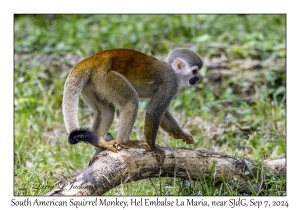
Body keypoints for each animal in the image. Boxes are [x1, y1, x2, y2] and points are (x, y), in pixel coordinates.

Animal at [63, 48, 204, 163]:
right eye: (194, 71)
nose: (198, 78)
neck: (173, 72)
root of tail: (92, 59)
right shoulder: (171, 83)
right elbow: (154, 112)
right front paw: (153, 147)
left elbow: (161, 113)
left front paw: (180, 134)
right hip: (104, 77)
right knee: (131, 100)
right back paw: (124, 141)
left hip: (91, 84)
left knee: (106, 110)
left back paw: (99, 141)